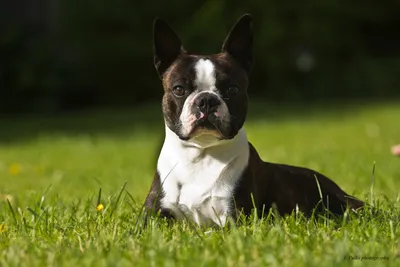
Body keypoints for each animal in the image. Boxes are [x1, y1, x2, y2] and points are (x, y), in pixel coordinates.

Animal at [145, 13, 366, 227]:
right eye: (179, 89)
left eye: (232, 89)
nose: (206, 100)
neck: (200, 154)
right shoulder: (152, 215)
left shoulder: (234, 216)